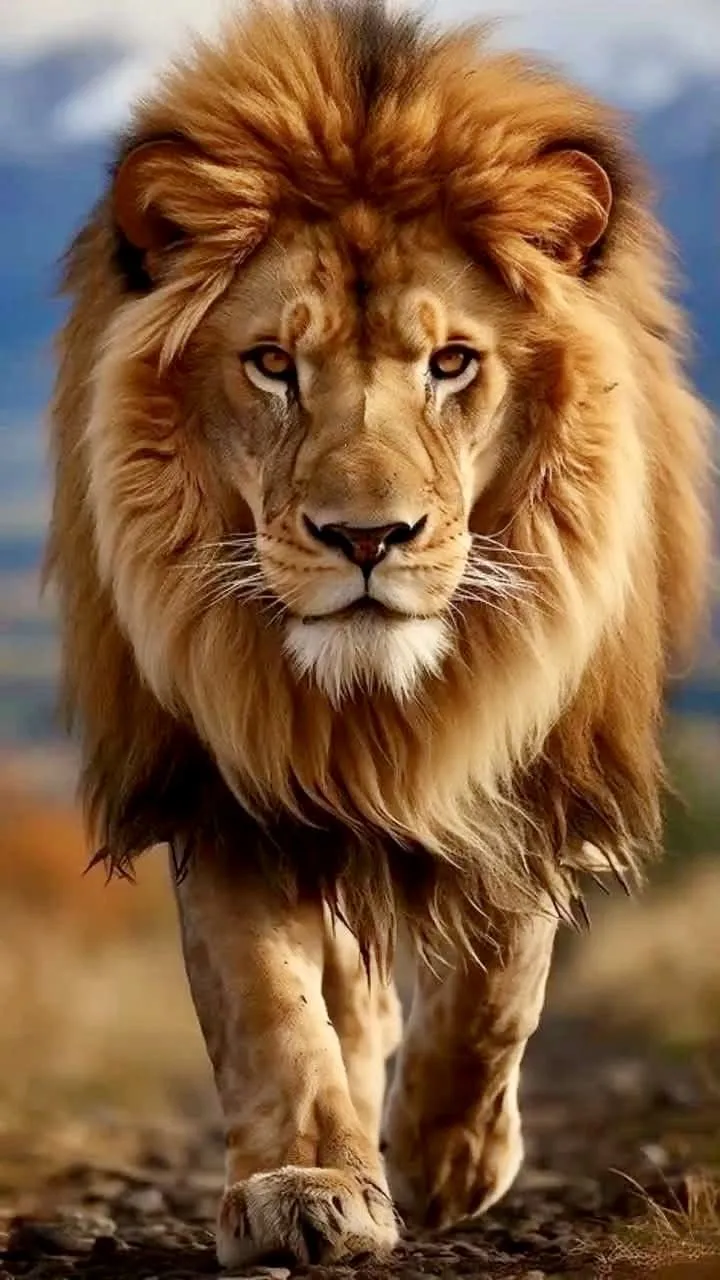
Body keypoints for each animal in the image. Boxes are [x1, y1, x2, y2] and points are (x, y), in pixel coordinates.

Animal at [46, 0, 711, 1266]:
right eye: (272, 364)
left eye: (452, 362)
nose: (368, 537)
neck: (369, 701)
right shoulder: (225, 776)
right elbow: (268, 998)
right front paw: (308, 1180)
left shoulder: (532, 745)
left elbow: (504, 966)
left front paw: (451, 1156)